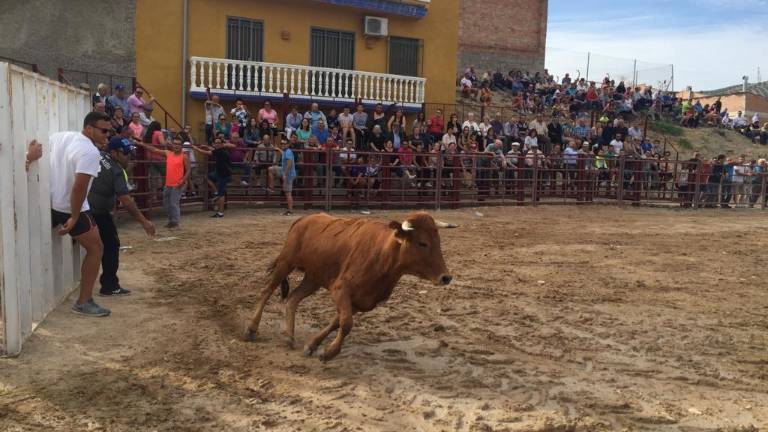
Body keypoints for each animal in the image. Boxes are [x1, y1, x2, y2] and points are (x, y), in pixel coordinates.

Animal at [244, 211, 456, 360]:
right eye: (422, 243)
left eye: (438, 241)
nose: (446, 277)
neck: (383, 257)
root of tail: (303, 219)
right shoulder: (341, 290)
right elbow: (346, 324)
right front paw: (329, 352)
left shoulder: (361, 302)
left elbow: (337, 322)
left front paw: (313, 345)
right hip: (286, 263)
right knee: (266, 291)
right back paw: (251, 329)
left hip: (313, 278)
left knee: (293, 298)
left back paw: (289, 335)